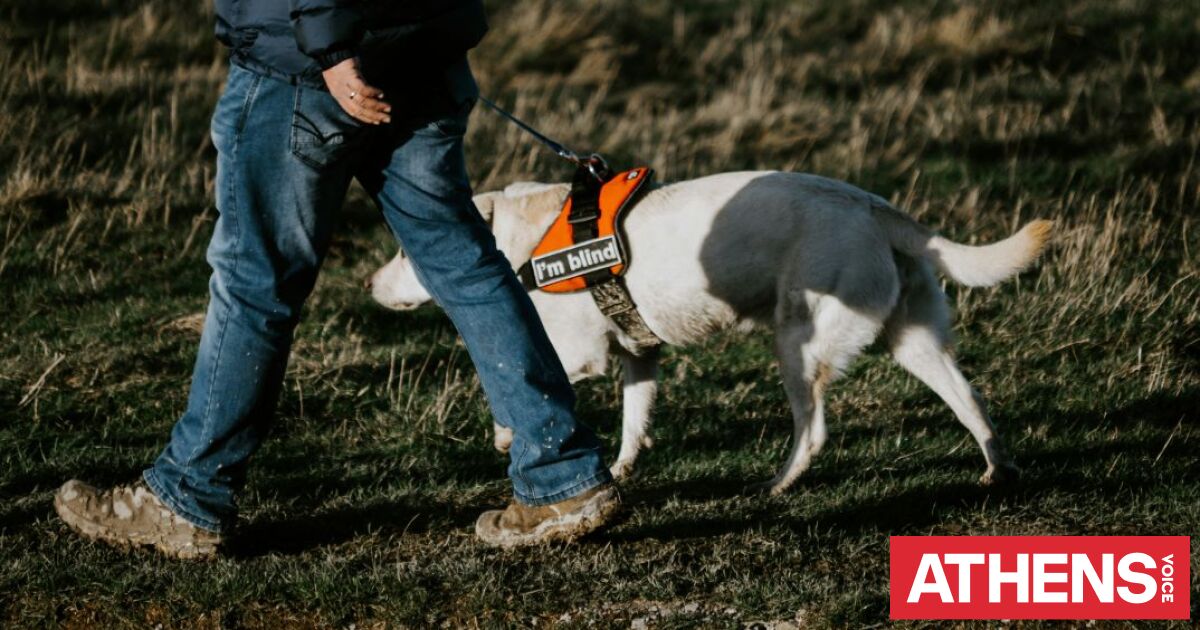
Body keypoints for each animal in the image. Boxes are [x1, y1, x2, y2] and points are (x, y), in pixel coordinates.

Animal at [369, 171, 1051, 494]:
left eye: (405, 251)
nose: (369, 285)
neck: (519, 240)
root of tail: (874, 206)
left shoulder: (576, 353)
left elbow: (510, 383)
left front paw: (508, 435)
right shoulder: (638, 356)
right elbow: (633, 422)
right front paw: (621, 469)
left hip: (798, 343)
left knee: (813, 429)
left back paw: (778, 483)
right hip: (913, 341)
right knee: (971, 401)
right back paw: (998, 470)